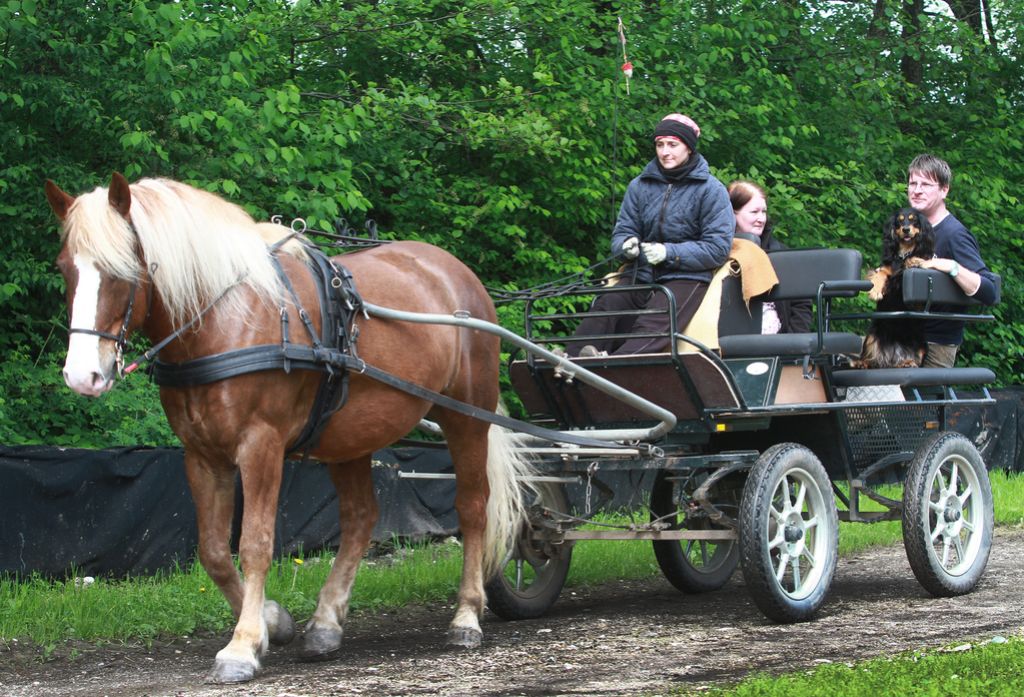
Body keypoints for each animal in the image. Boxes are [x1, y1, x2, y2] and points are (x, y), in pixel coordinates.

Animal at [44, 170, 532, 683]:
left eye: (122, 271)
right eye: (66, 269)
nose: (82, 375)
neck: (225, 319)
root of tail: (455, 271)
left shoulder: (261, 445)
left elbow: (255, 544)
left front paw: (242, 645)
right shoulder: (202, 455)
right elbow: (213, 551)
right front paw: (272, 623)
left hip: (467, 418)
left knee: (473, 508)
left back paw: (467, 615)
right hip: (350, 435)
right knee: (360, 519)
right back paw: (326, 623)